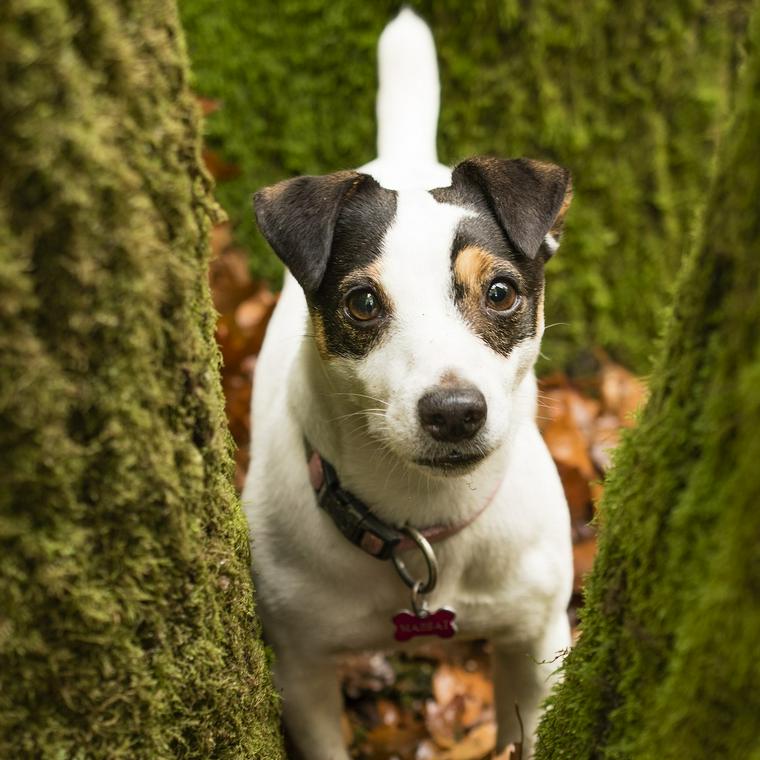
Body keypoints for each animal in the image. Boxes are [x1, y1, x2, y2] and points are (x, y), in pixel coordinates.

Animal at [243, 8, 568, 756]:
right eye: (363, 303)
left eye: (501, 292)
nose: (453, 412)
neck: (428, 520)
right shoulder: (301, 666)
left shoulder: (536, 643)